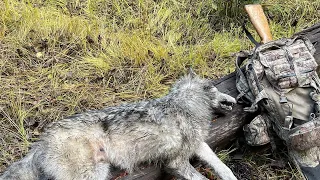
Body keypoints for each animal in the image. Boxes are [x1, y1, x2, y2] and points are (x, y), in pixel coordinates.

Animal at [0, 69, 238, 179]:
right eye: (217, 88)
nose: (236, 100)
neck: (184, 104)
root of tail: (42, 141)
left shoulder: (198, 145)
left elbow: (221, 165)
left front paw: (230, 176)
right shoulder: (176, 162)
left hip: (100, 171)